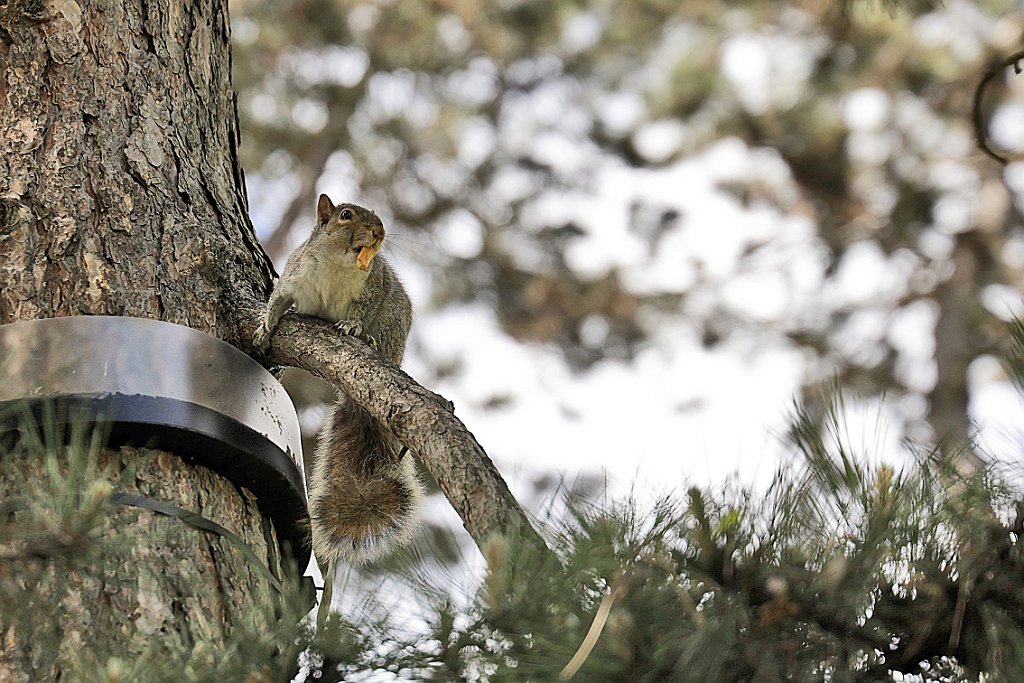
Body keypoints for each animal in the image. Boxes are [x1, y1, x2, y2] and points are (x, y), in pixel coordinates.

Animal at [253, 192, 421, 565]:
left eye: (378, 218)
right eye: (346, 215)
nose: (379, 232)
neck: (337, 264)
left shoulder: (372, 289)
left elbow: (360, 311)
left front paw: (352, 327)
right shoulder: (293, 276)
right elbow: (278, 301)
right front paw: (266, 325)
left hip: (391, 321)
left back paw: (371, 341)